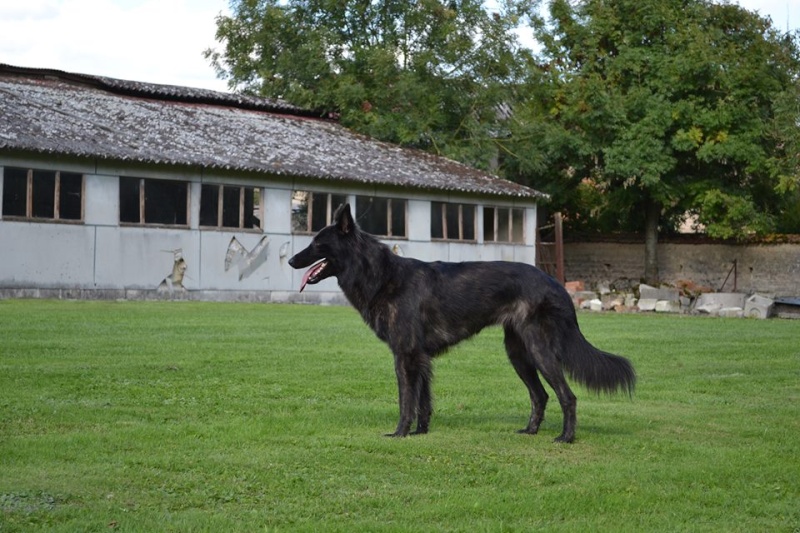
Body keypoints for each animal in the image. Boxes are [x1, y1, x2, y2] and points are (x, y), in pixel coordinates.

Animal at [290, 204, 636, 440]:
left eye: (318, 243)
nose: (292, 260)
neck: (383, 276)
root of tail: (555, 284)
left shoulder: (405, 355)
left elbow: (406, 400)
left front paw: (400, 433)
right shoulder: (421, 358)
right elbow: (423, 401)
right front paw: (420, 432)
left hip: (539, 351)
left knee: (567, 395)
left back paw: (566, 437)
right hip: (518, 354)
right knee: (540, 395)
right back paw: (530, 431)